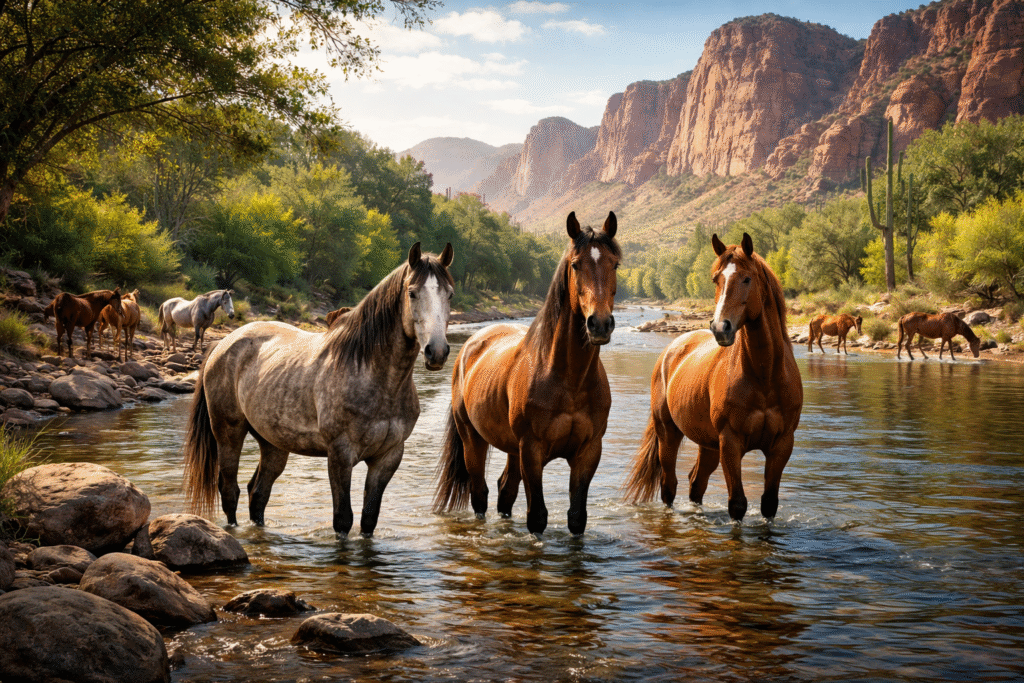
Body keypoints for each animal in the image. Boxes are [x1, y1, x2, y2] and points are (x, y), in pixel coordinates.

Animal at [182, 243, 455, 538]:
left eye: (449, 294)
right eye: (412, 292)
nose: (437, 351)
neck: (374, 375)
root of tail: (222, 344)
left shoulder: (388, 457)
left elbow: (369, 519)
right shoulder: (340, 455)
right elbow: (343, 519)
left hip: (273, 443)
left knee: (258, 494)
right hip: (228, 433)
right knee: (230, 491)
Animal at [433, 211, 619, 535]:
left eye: (615, 264)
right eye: (575, 264)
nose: (599, 324)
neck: (569, 380)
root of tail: (471, 344)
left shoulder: (588, 451)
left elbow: (577, 517)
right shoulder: (532, 450)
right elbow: (537, 517)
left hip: (511, 448)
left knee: (505, 491)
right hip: (473, 439)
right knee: (480, 493)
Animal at [623, 233, 803, 522]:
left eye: (747, 278)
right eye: (716, 279)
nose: (720, 328)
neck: (765, 377)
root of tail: (670, 351)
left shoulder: (782, 444)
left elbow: (769, 504)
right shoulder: (730, 442)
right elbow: (737, 504)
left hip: (708, 444)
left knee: (696, 484)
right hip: (668, 433)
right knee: (669, 486)